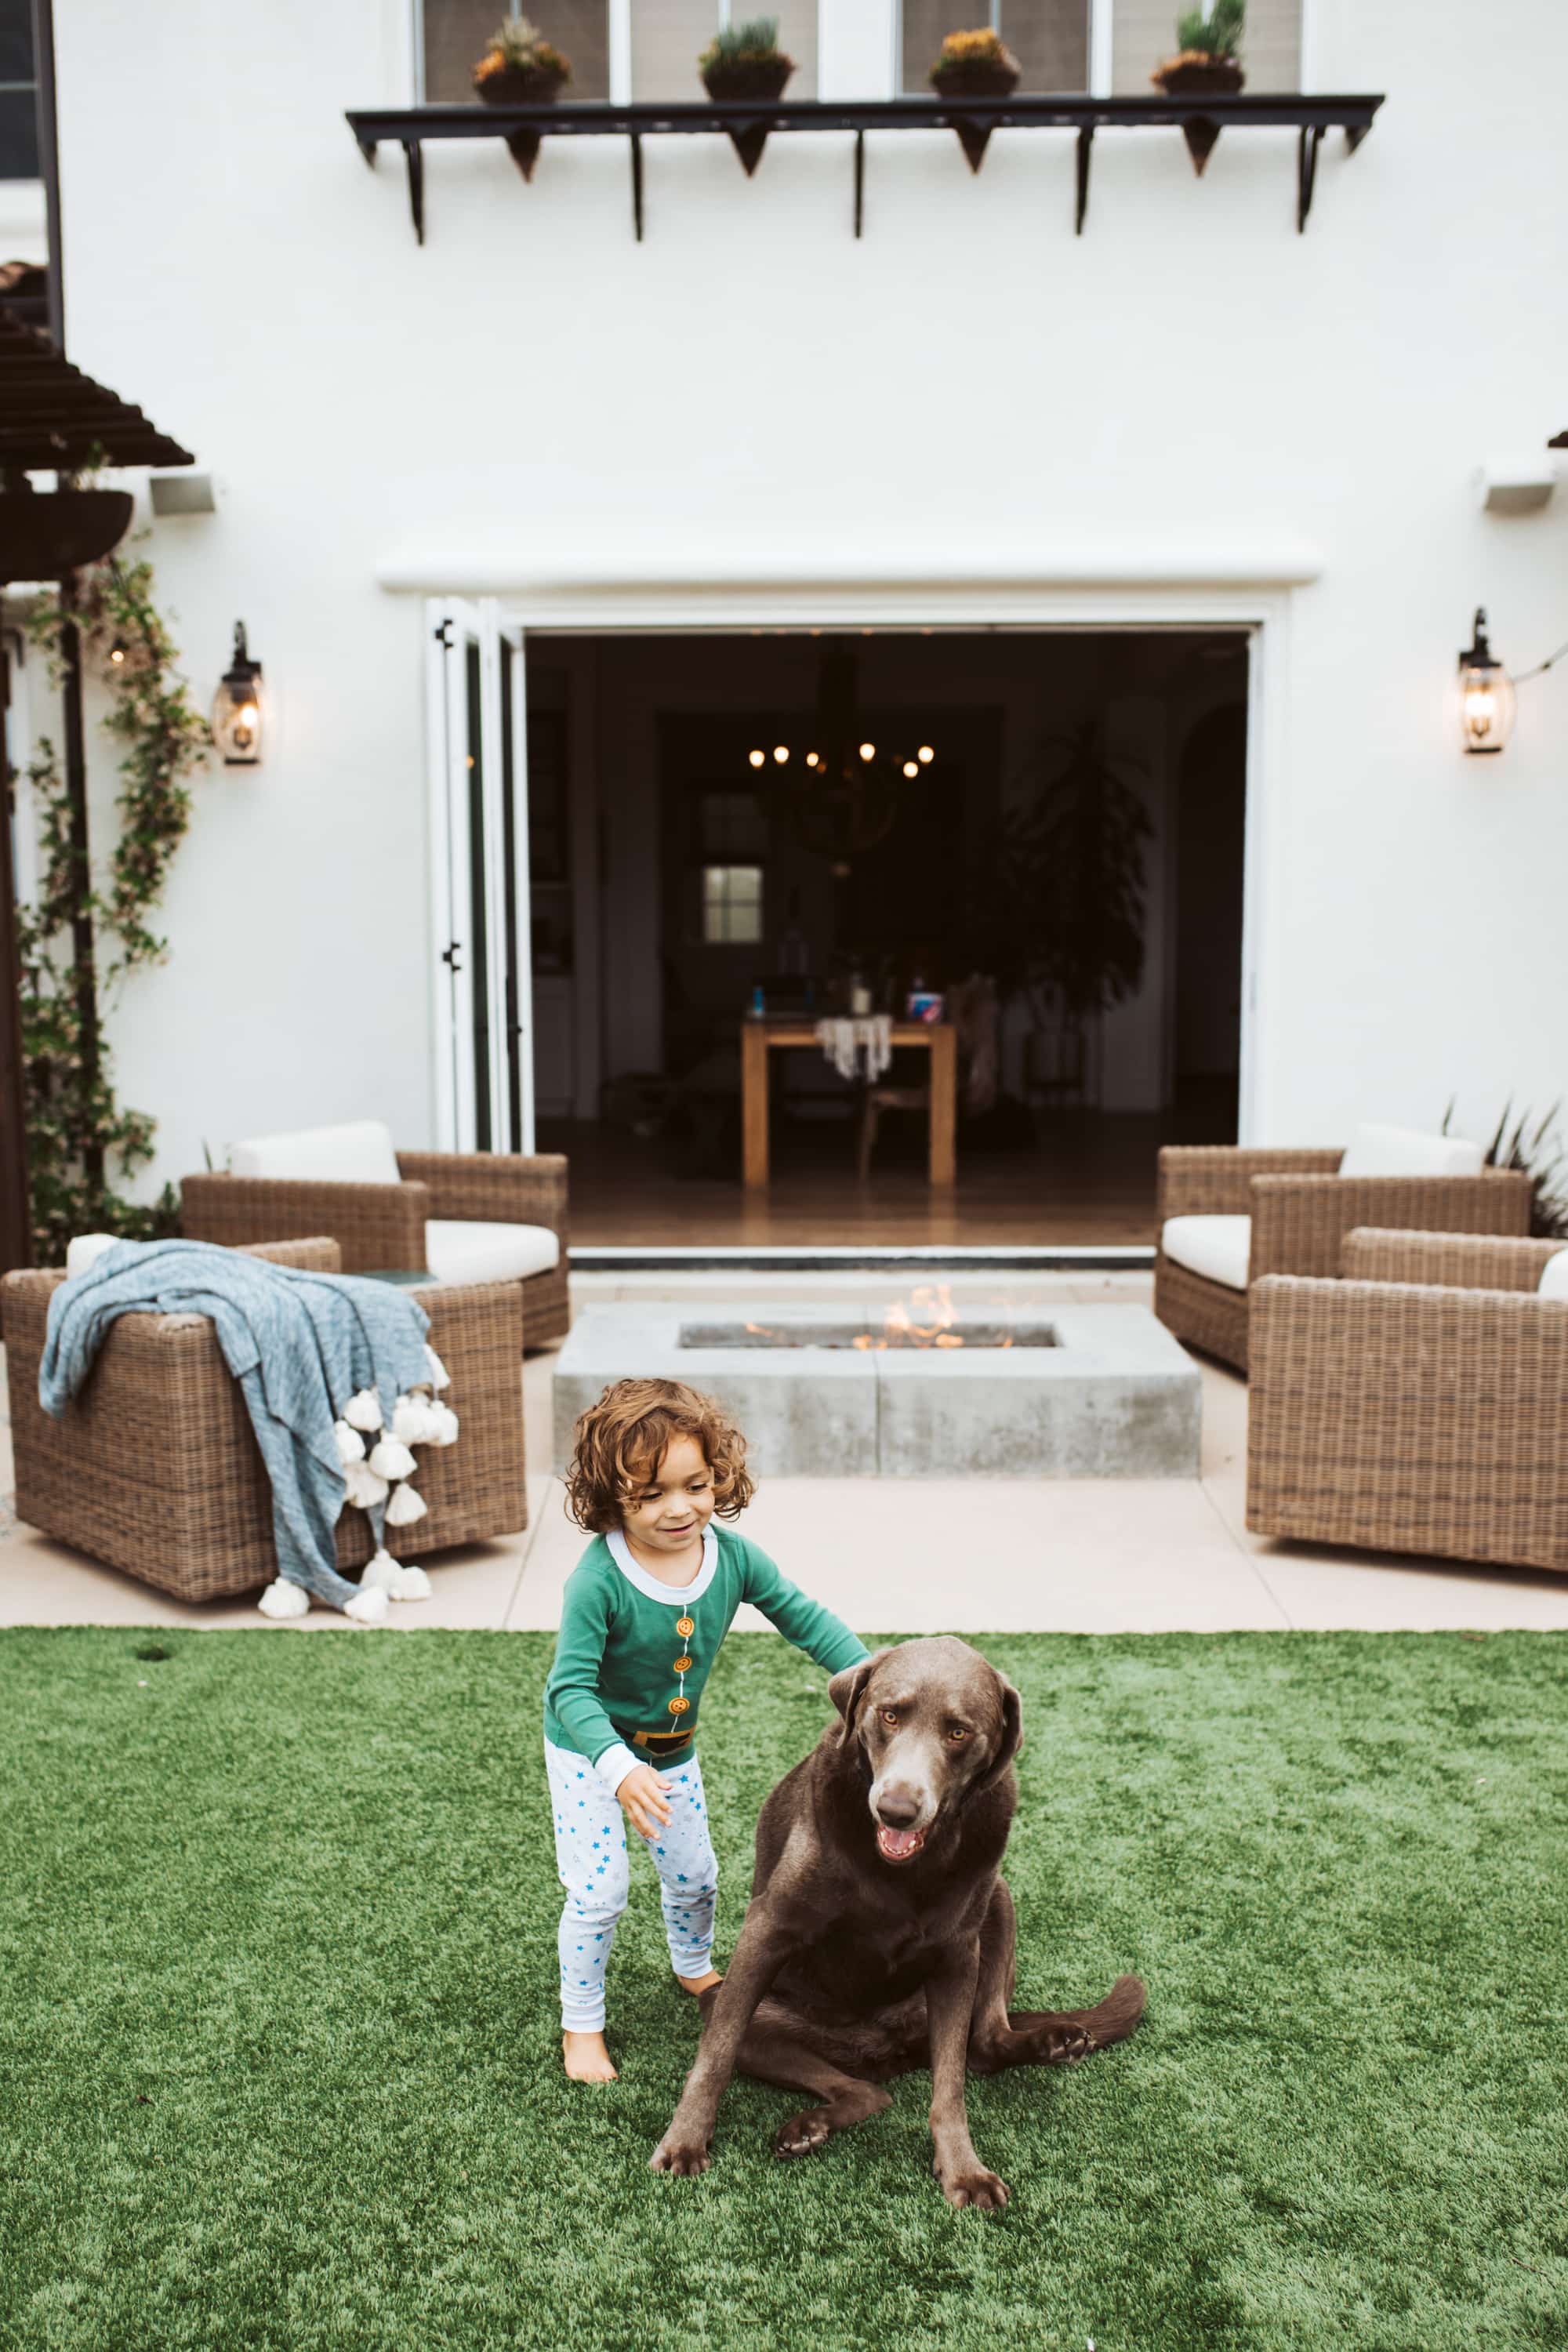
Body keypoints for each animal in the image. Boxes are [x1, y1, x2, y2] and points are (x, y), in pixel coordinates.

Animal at [644, 1637, 1147, 2201]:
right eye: (889, 1715)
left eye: (958, 1732)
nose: (897, 1809)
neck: (906, 1866)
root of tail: (888, 2049)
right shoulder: (769, 1928)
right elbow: (716, 2055)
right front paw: (685, 2141)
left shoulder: (957, 1956)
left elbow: (950, 2087)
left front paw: (964, 2170)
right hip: (745, 2010)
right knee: (863, 2089)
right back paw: (808, 2128)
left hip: (997, 1898)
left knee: (985, 2044)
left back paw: (1054, 2040)